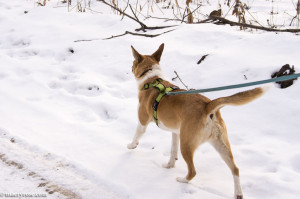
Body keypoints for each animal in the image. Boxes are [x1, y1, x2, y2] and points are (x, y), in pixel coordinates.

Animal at [126, 43, 268, 199]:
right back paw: (238, 193)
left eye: (133, 62)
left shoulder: (143, 122)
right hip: (221, 144)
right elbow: (173, 151)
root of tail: (207, 106)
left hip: (187, 144)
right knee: (235, 169)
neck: (152, 80)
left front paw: (131, 145)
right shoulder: (176, 133)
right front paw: (169, 165)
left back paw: (182, 179)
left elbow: (137, 134)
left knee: (193, 171)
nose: (130, 67)